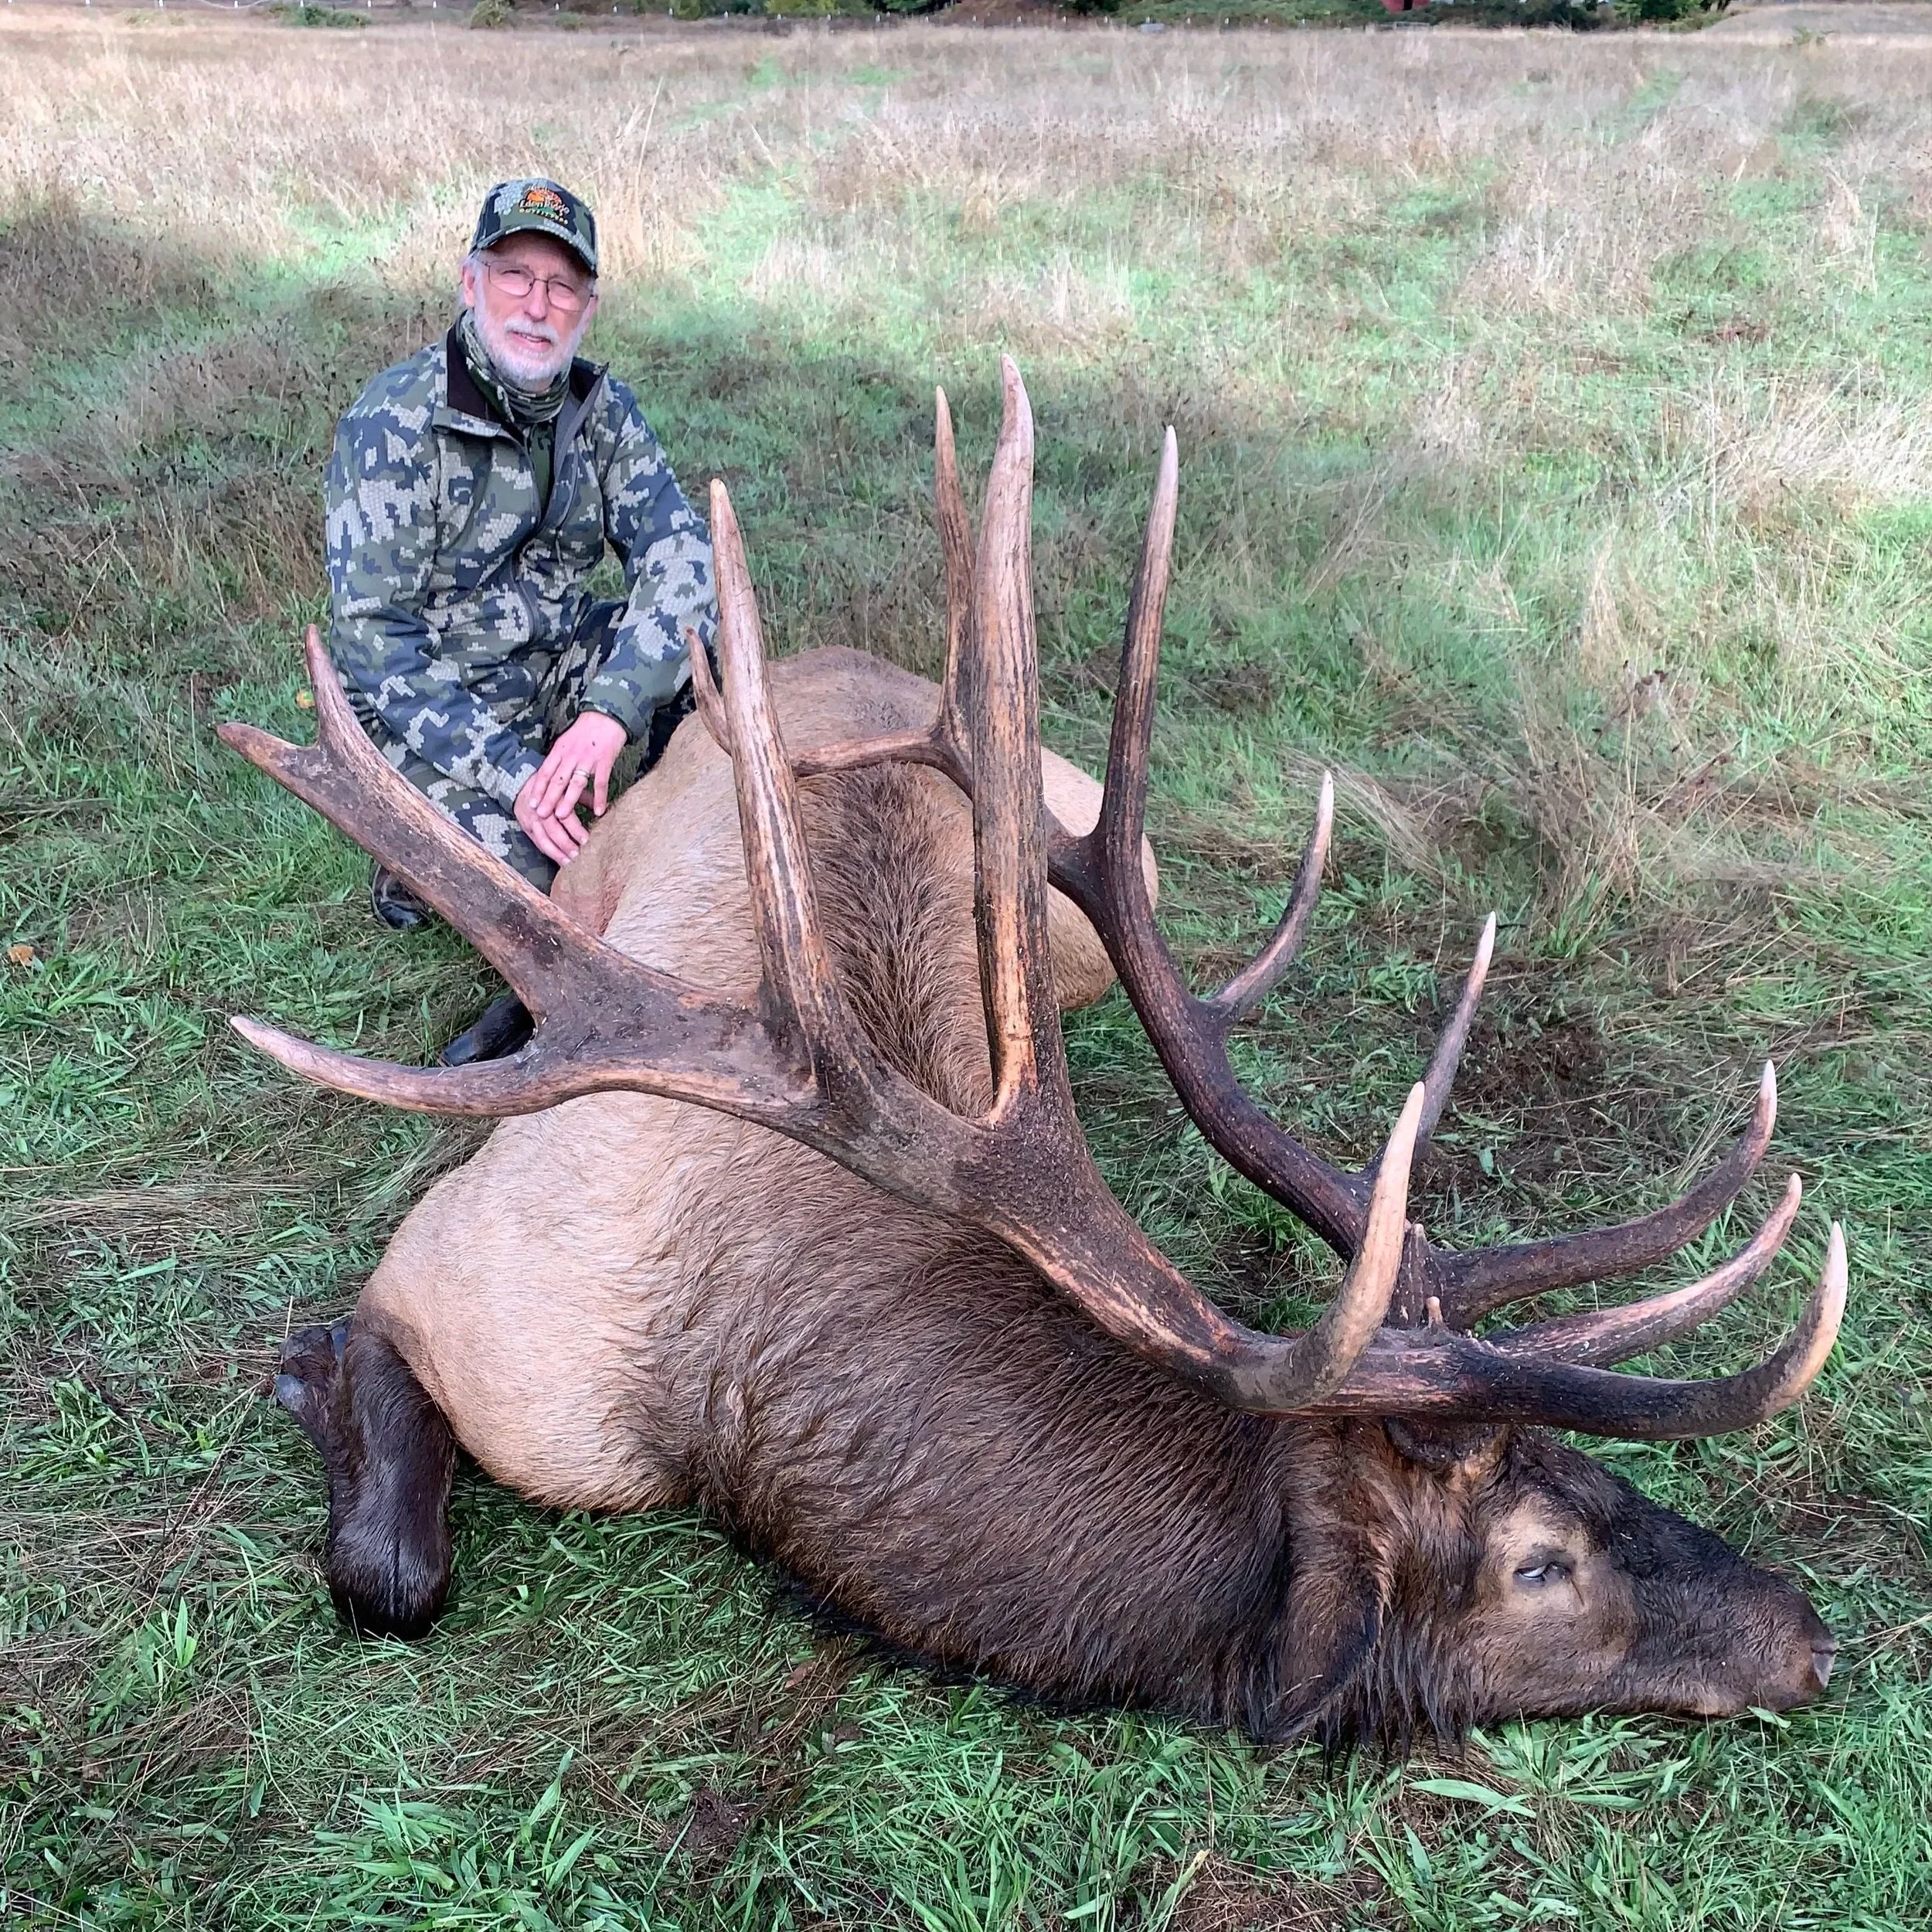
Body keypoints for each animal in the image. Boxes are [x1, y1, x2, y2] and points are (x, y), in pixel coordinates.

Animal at [222, 361, 1846, 1747]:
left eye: (1592, 1470)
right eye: (1540, 1561)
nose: (1810, 1630)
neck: (723, 1423)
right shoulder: (463, 1283)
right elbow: (393, 1568)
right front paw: (304, 1374)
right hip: (600, 851)